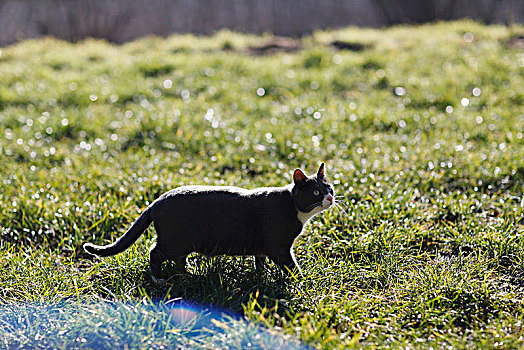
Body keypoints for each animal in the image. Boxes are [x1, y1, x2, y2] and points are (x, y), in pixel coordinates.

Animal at [84, 162, 334, 282]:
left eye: (329, 188)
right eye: (315, 192)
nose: (330, 198)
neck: (295, 208)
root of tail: (155, 201)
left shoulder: (263, 247)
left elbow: (259, 262)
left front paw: (260, 277)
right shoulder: (278, 246)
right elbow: (290, 265)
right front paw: (300, 280)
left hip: (183, 242)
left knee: (178, 259)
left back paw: (187, 274)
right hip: (175, 239)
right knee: (155, 252)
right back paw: (159, 278)